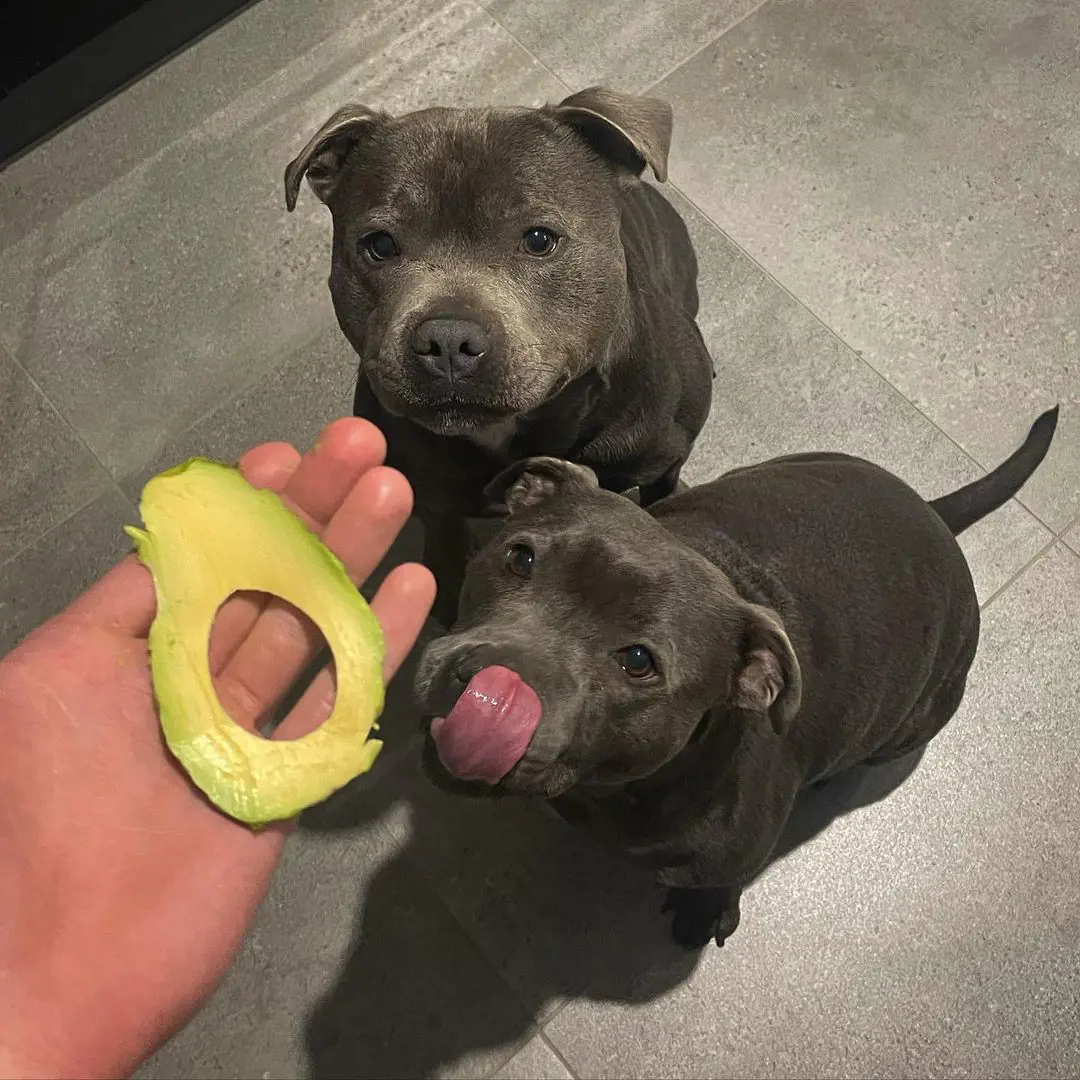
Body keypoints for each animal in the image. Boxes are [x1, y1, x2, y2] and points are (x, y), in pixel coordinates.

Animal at [416, 406, 1058, 946]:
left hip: (914, 720)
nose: (481, 684)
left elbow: (720, 882)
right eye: (519, 557)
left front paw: (705, 912)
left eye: (638, 661)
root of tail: (934, 514)